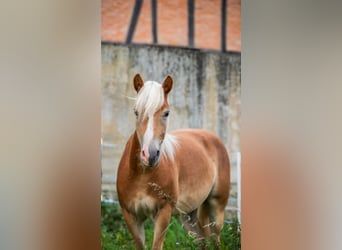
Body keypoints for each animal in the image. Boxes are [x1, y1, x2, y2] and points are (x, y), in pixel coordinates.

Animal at [116, 73, 231, 249]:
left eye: (166, 113)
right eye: (136, 112)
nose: (150, 155)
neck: (141, 175)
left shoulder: (164, 213)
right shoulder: (130, 216)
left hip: (216, 208)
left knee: (215, 240)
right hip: (188, 214)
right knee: (202, 242)